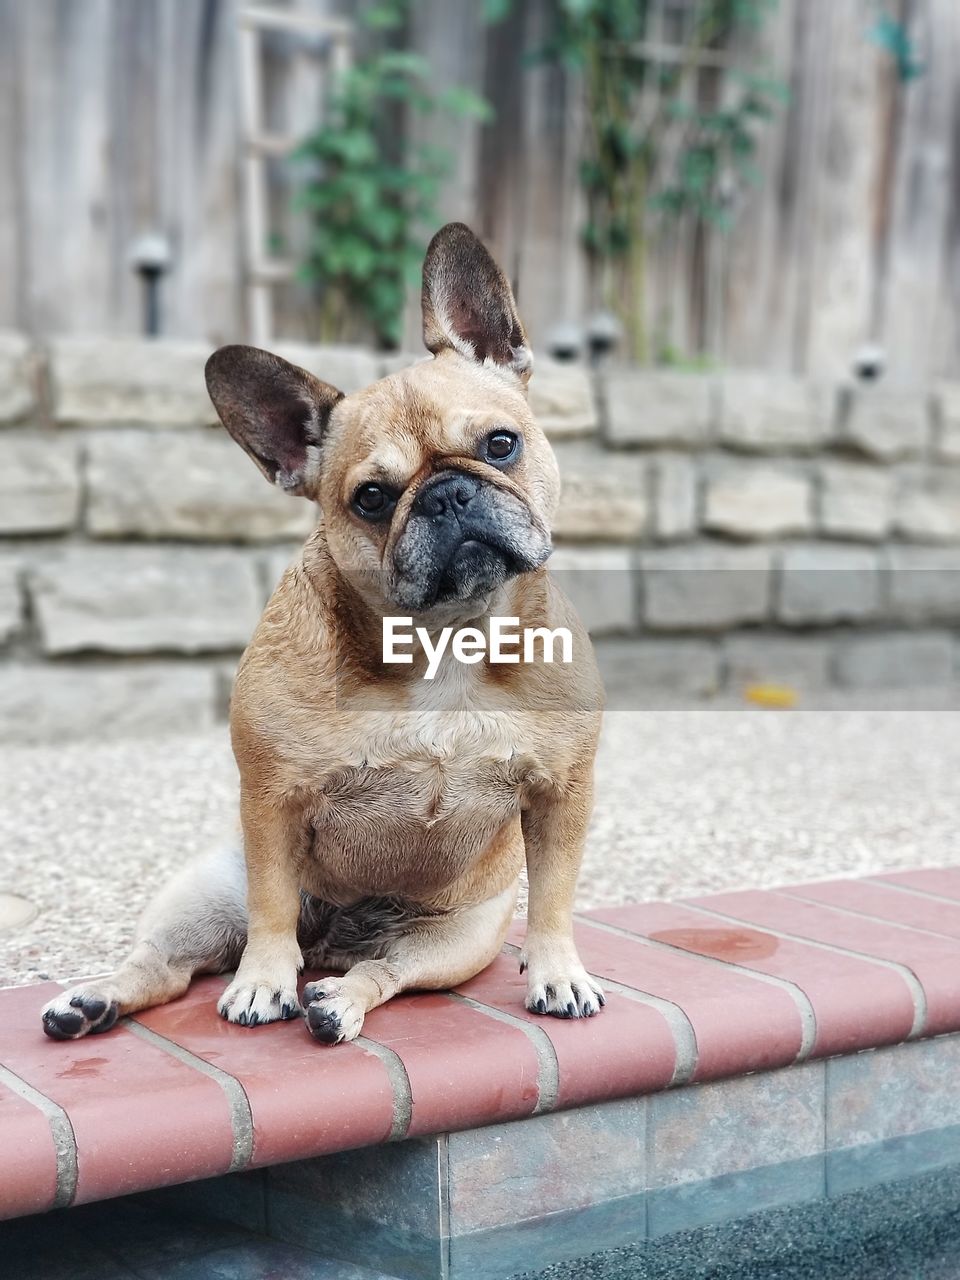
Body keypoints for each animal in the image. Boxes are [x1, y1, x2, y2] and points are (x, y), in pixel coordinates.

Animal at [43, 225, 609, 1044]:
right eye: (371, 498)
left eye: (501, 445)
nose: (447, 494)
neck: (444, 637)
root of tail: (333, 942)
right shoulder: (271, 799)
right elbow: (272, 907)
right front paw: (260, 983)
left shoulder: (563, 794)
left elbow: (557, 896)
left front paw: (559, 970)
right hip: (204, 891)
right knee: (165, 964)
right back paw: (96, 1000)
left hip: (457, 939)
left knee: (384, 974)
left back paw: (336, 1000)